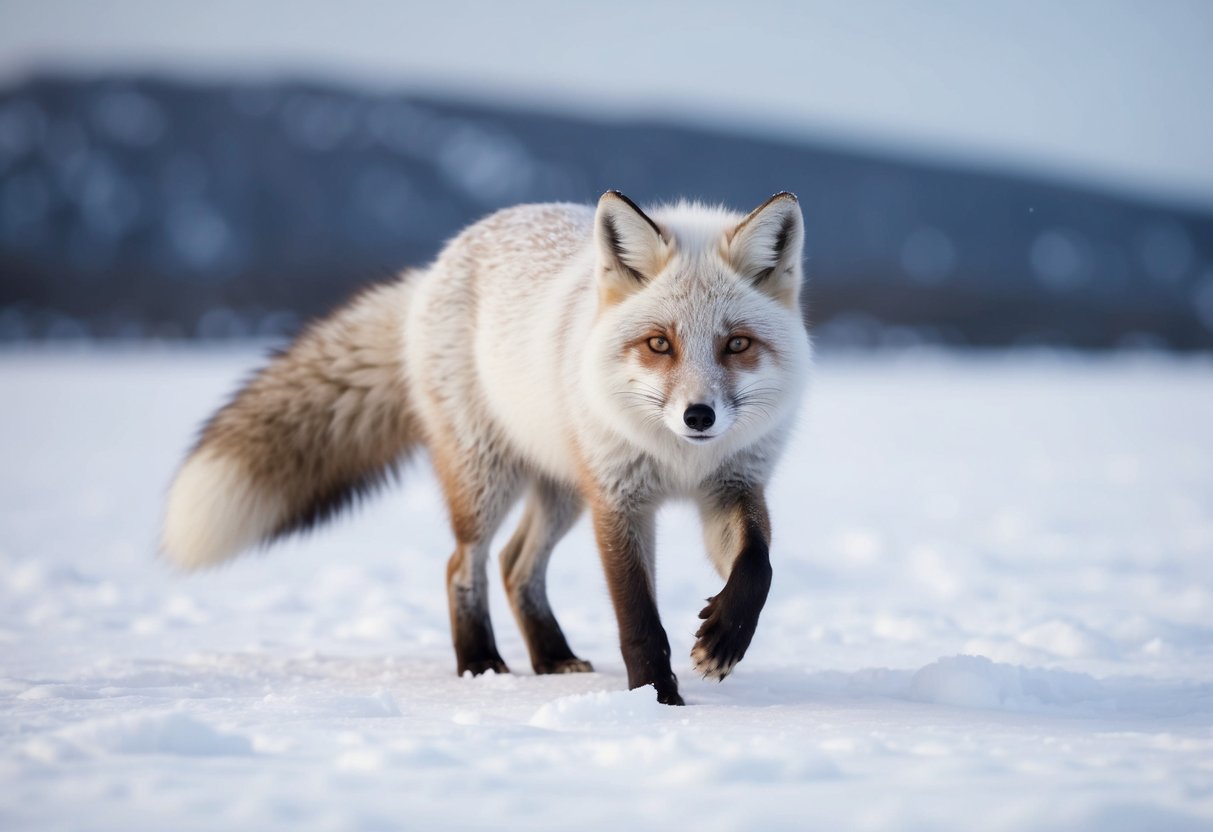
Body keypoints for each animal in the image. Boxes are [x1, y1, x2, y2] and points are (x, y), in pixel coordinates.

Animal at [161, 190, 811, 705]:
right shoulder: (618, 498)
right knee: (465, 563)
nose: (698, 416)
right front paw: (656, 701)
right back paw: (480, 664)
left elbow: (758, 568)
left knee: (515, 563)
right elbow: (638, 620)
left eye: (736, 344)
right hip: (488, 479)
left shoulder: (731, 485)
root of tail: (435, 266)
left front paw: (724, 639)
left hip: (561, 489)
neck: (681, 458)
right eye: (659, 343)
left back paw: (552, 658)